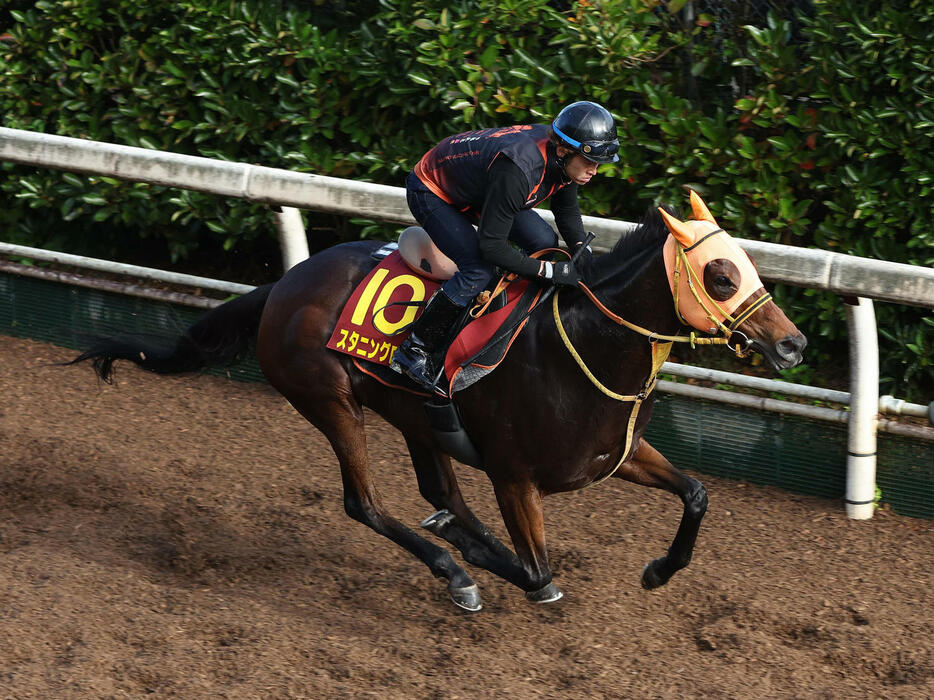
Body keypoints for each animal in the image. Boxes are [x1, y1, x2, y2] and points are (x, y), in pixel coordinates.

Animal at [71, 191, 804, 612]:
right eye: (720, 274)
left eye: (751, 265)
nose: (792, 344)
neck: (582, 346)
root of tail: (285, 284)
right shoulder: (514, 476)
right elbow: (538, 571)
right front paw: (497, 569)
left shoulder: (613, 454)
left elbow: (696, 493)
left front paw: (658, 570)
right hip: (330, 400)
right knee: (364, 503)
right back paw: (455, 569)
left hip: (415, 416)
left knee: (440, 490)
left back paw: (457, 540)